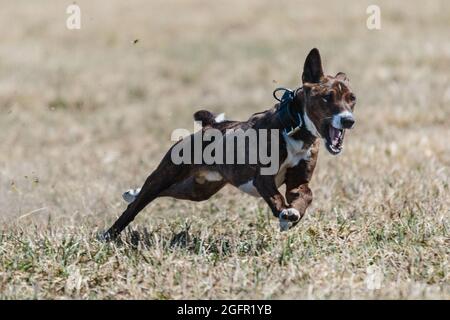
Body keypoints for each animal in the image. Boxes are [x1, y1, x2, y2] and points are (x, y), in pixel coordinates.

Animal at [103, 48, 356, 240]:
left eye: (352, 99)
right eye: (327, 97)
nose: (349, 120)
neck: (294, 127)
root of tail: (210, 125)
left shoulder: (298, 182)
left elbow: (306, 195)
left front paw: (291, 215)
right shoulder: (263, 179)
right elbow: (276, 197)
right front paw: (284, 214)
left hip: (199, 189)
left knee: (168, 192)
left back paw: (132, 193)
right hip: (165, 174)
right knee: (138, 204)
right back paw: (109, 233)